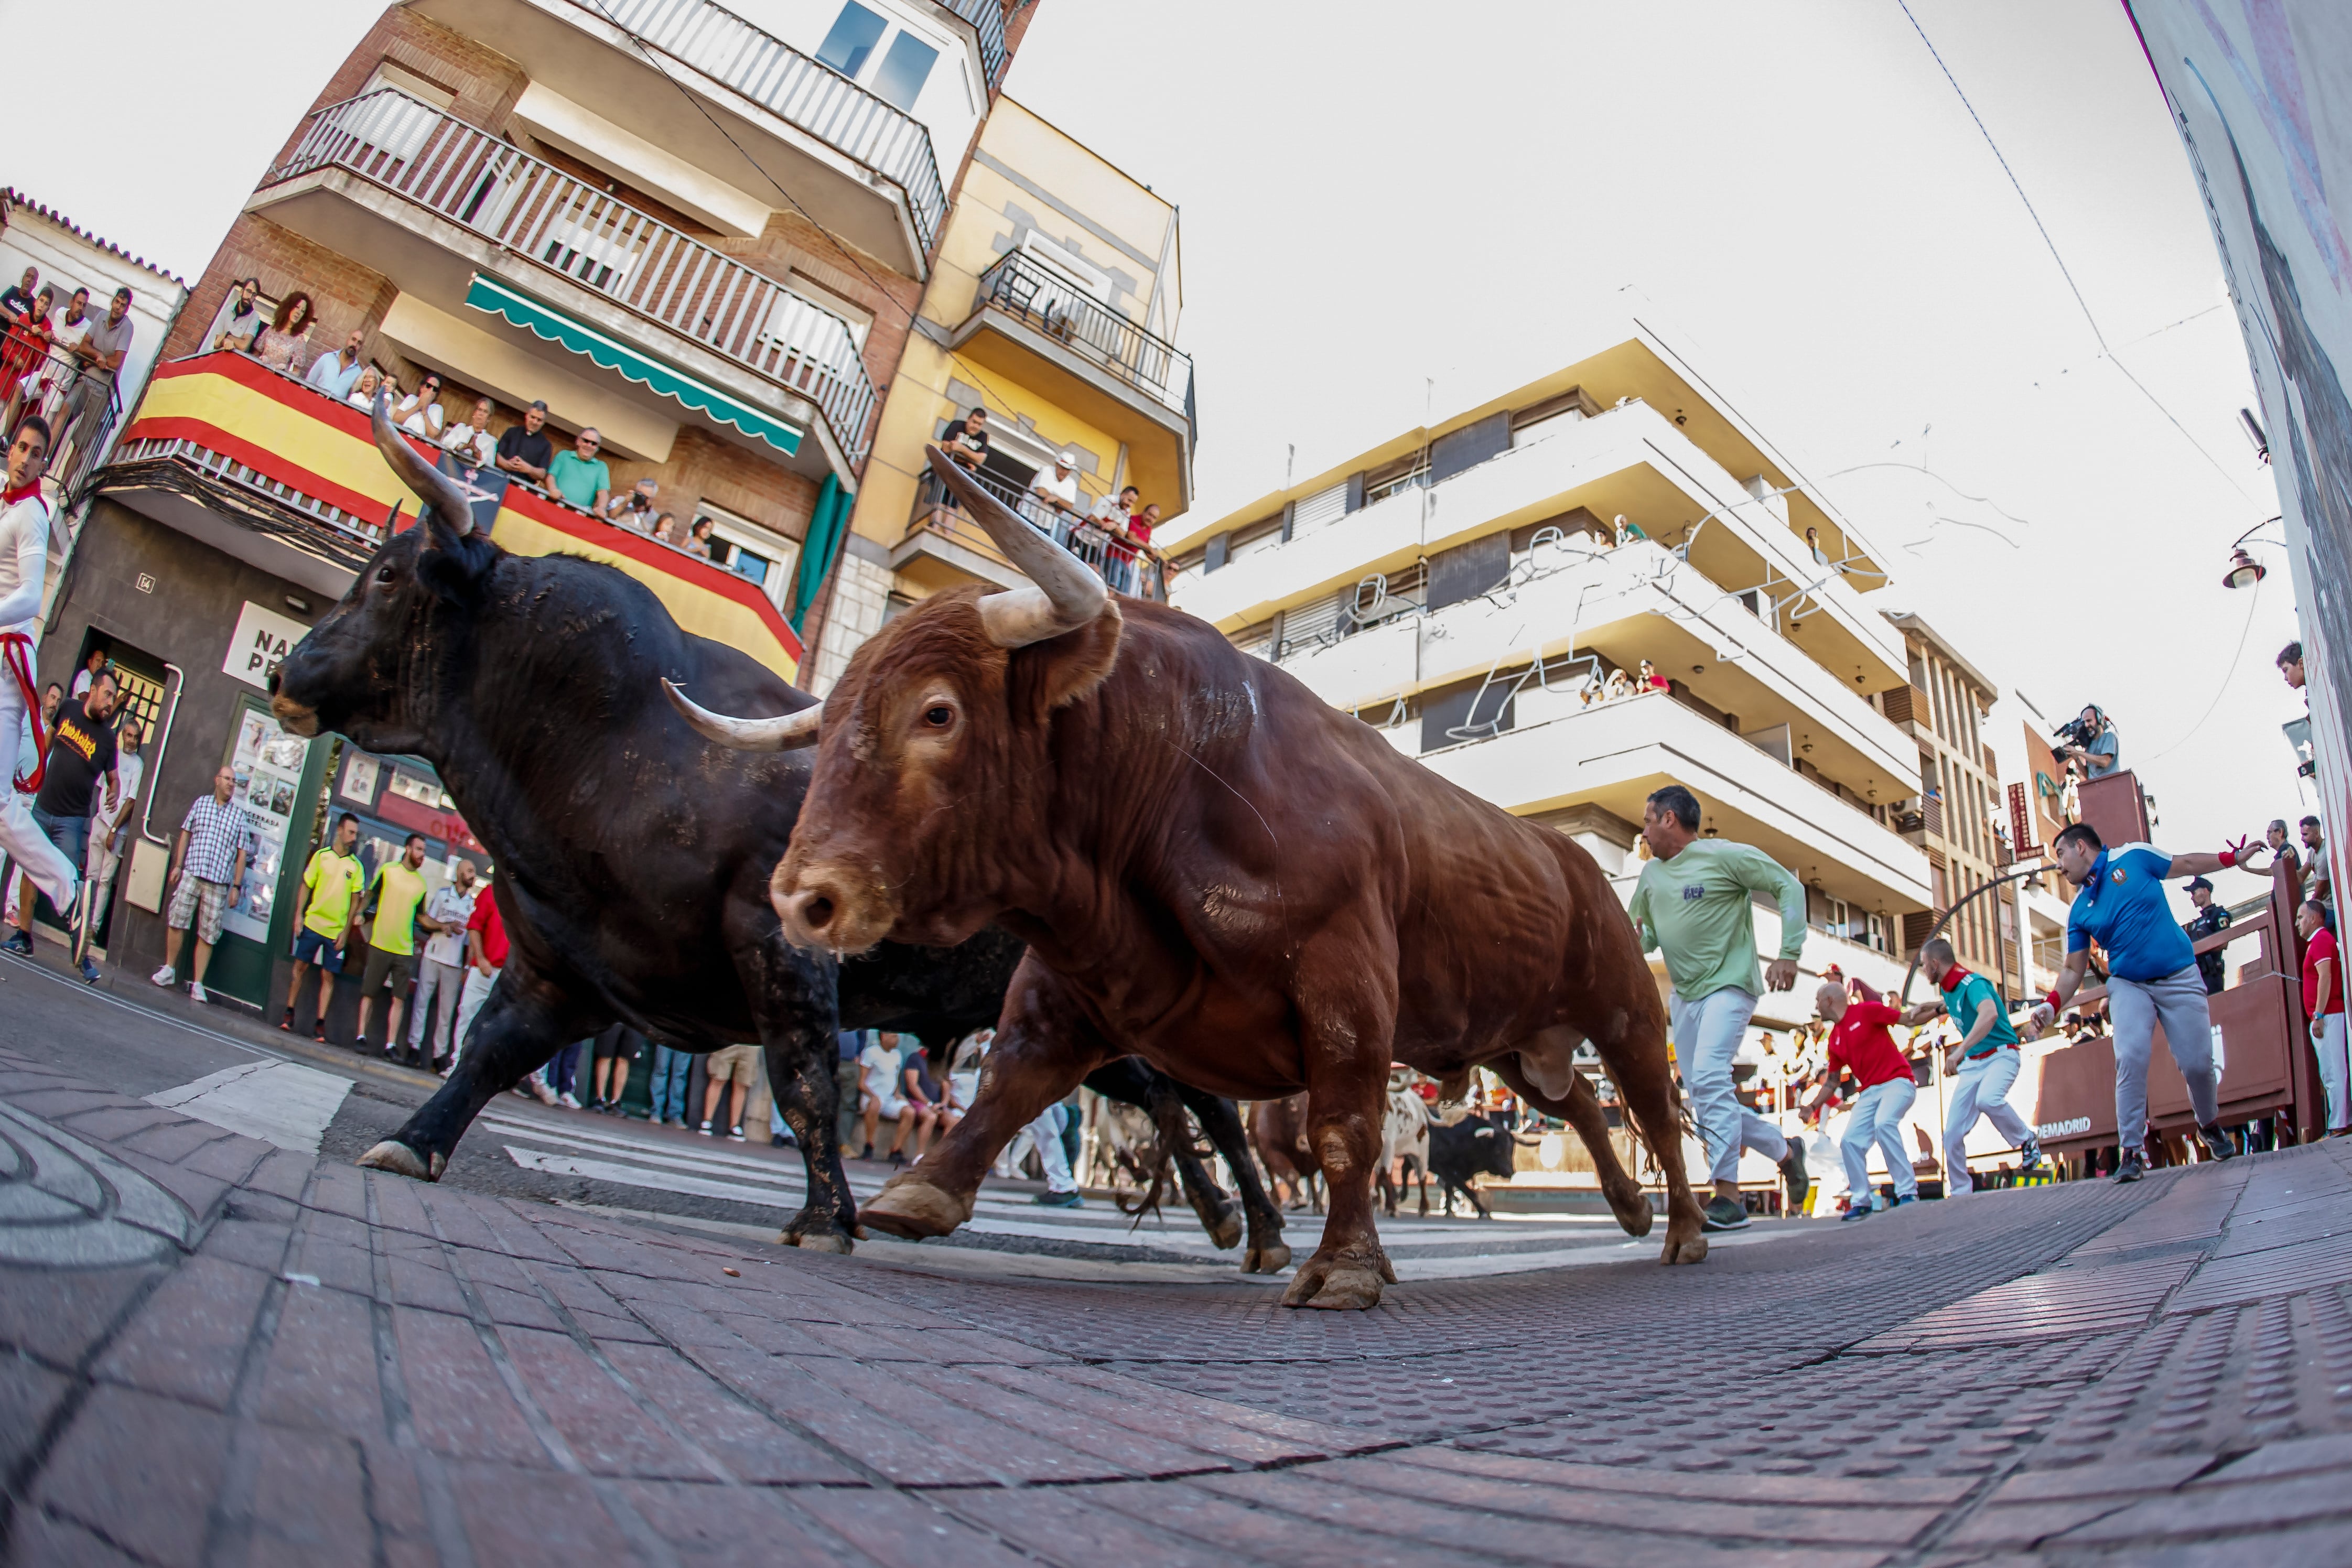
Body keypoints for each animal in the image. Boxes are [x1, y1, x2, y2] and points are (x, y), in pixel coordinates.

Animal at [270, 399, 1289, 1269]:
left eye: (387, 576)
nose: (287, 673)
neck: (613, 736)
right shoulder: (562, 964)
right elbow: (487, 1049)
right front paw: (410, 1142)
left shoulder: (780, 947)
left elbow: (803, 1081)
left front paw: (825, 1215)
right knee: (1162, 1094)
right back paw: (1225, 1217)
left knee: (1202, 1100)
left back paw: (1263, 1228)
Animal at [672, 447, 1702, 1307]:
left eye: (937, 712)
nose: (801, 895)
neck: (1173, 777)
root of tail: (1575, 857)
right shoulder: (1070, 979)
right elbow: (1012, 1079)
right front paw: (920, 1192)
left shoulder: (1345, 983)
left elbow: (1344, 1128)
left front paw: (1344, 1268)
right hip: (1514, 1042)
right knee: (1580, 1102)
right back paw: (1628, 1207)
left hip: (1619, 1007)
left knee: (1653, 1110)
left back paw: (1682, 1228)